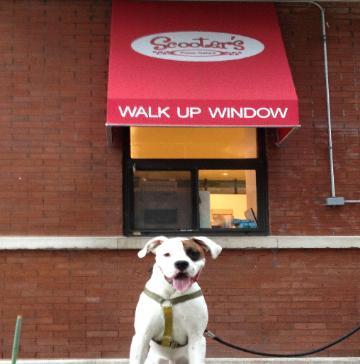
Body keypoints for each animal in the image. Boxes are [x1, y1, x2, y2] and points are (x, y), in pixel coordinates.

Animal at [130, 236, 222, 364]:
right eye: (167, 254)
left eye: (193, 253)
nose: (181, 263)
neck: (171, 296)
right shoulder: (142, 336)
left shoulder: (196, 338)